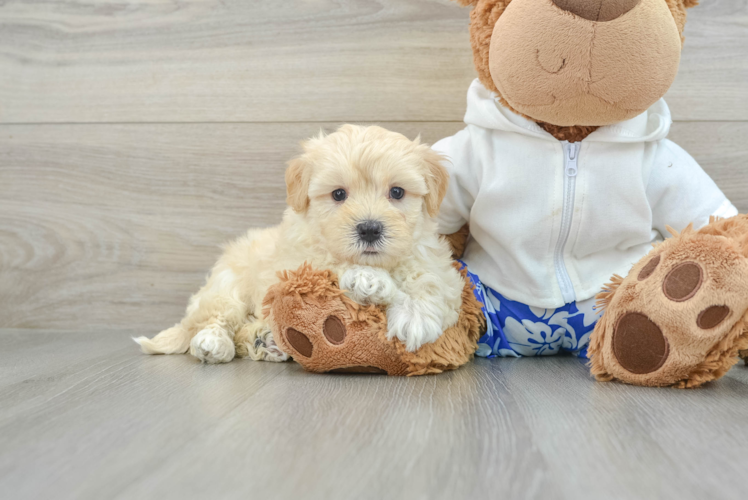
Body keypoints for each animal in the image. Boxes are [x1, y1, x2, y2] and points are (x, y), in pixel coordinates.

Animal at [132, 125, 464, 364]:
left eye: (397, 192)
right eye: (338, 194)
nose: (369, 229)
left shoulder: (437, 262)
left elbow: (430, 278)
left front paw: (414, 316)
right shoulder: (297, 264)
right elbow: (331, 262)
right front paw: (368, 279)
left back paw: (265, 341)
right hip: (227, 285)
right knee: (215, 318)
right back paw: (214, 342)